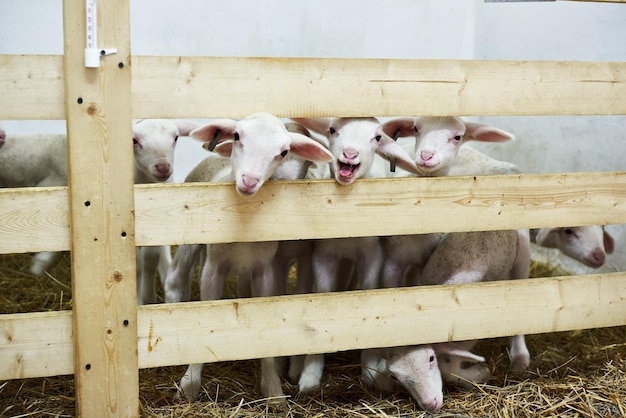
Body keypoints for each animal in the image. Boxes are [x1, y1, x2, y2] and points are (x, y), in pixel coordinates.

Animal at [163, 113, 334, 402]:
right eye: (237, 136)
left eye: (283, 151)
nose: (250, 180)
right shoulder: (213, 268)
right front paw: (190, 384)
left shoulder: (265, 270)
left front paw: (274, 390)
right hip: (191, 241)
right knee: (176, 279)